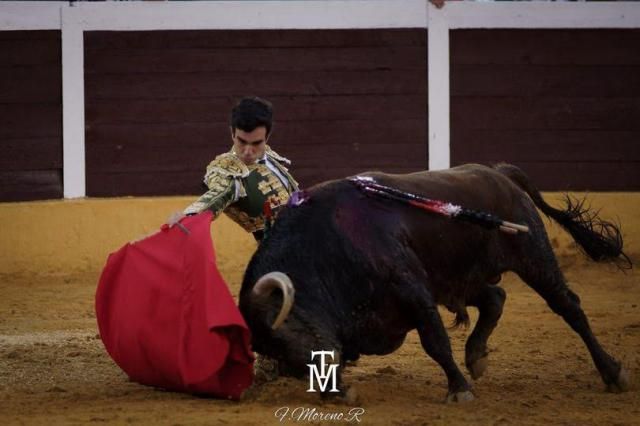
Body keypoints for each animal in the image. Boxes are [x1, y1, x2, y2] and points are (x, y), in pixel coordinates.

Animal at [239, 163, 632, 402]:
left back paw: (612, 373)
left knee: (568, 307)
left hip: (534, 257)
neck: (324, 246)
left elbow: (435, 342)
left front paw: (459, 391)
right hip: (460, 277)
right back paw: (476, 355)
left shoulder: (413, 292)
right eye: (275, 352)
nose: (333, 393)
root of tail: (498, 173)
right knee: (495, 297)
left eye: (282, 334)